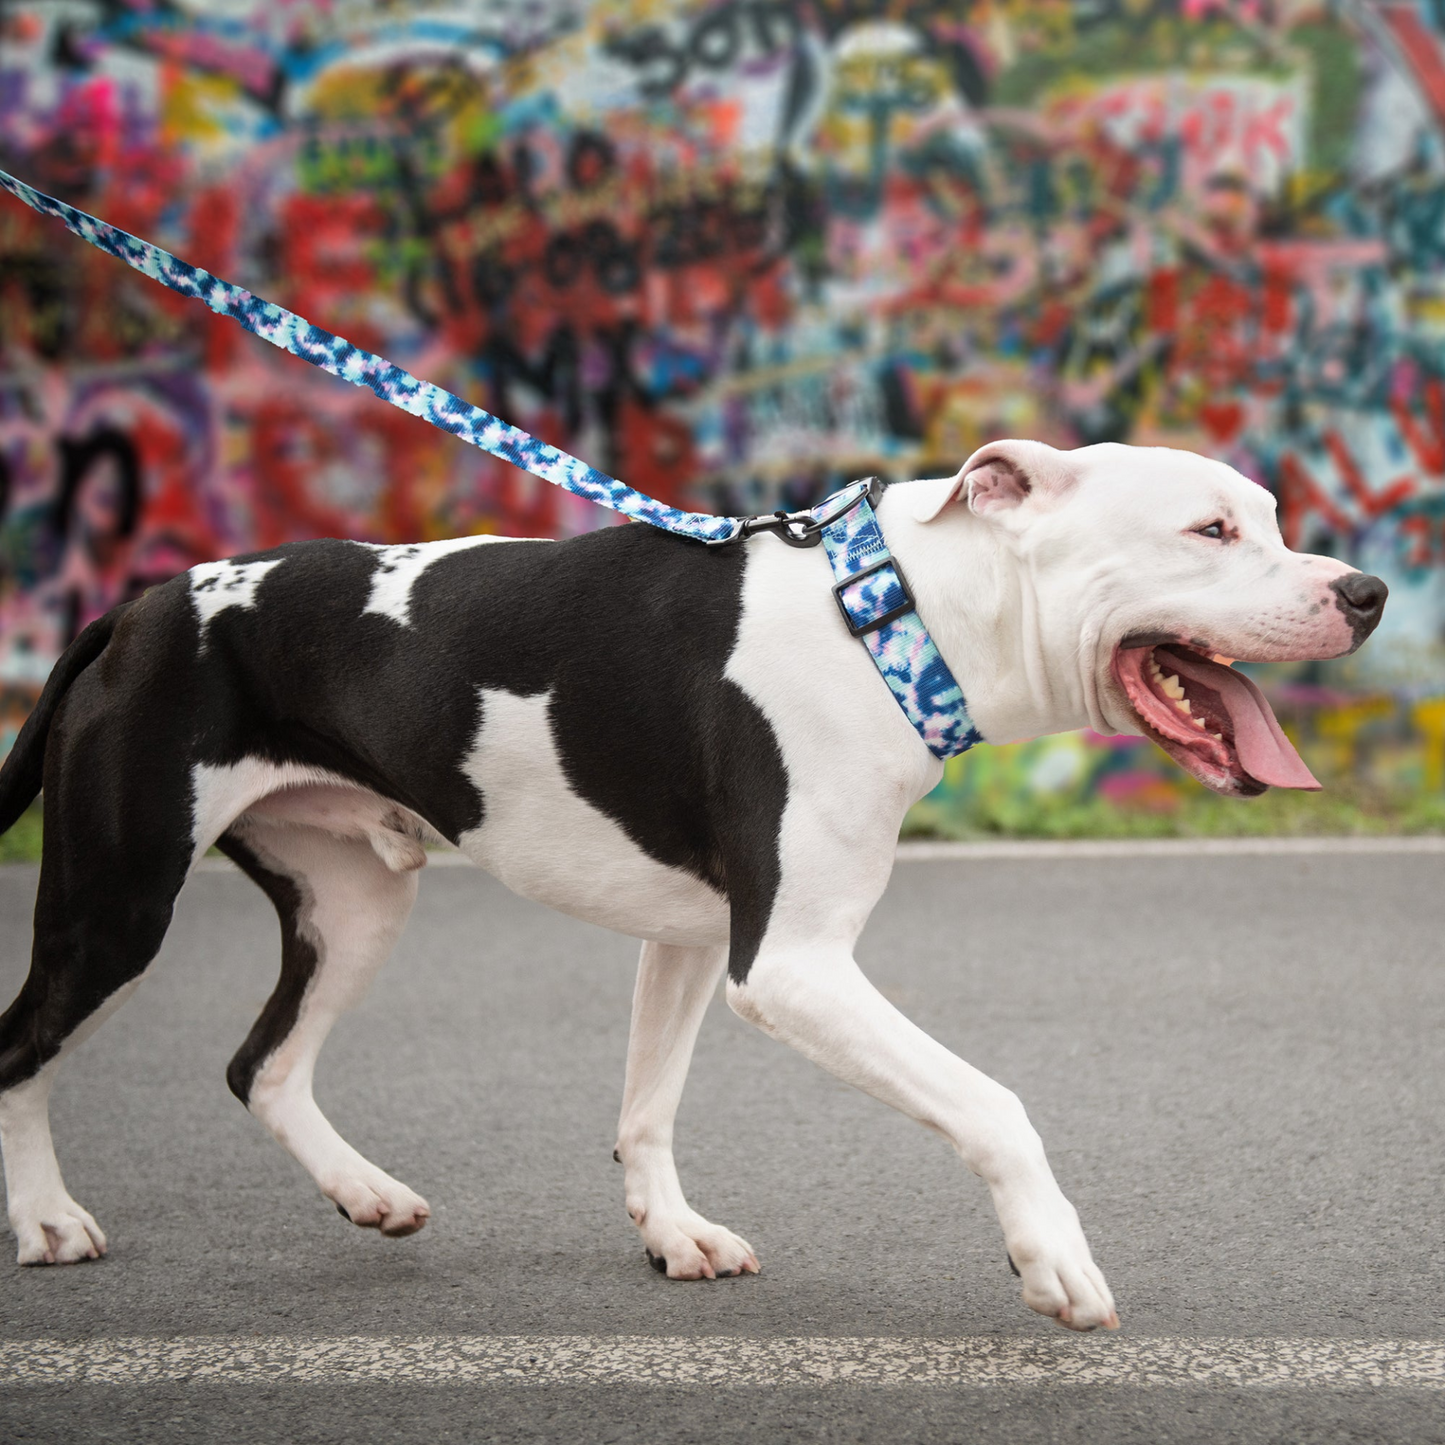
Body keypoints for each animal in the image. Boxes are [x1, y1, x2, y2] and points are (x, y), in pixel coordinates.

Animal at [0, 439, 1381, 1329]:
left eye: (1266, 518)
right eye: (1208, 530)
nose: (1363, 590)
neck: (889, 619)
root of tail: (135, 605)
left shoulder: (690, 936)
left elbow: (647, 1107)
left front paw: (672, 1234)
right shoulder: (794, 964)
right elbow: (992, 1101)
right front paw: (1051, 1258)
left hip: (355, 901)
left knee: (265, 1064)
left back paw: (368, 1193)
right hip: (116, 904)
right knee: (22, 1048)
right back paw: (49, 1219)